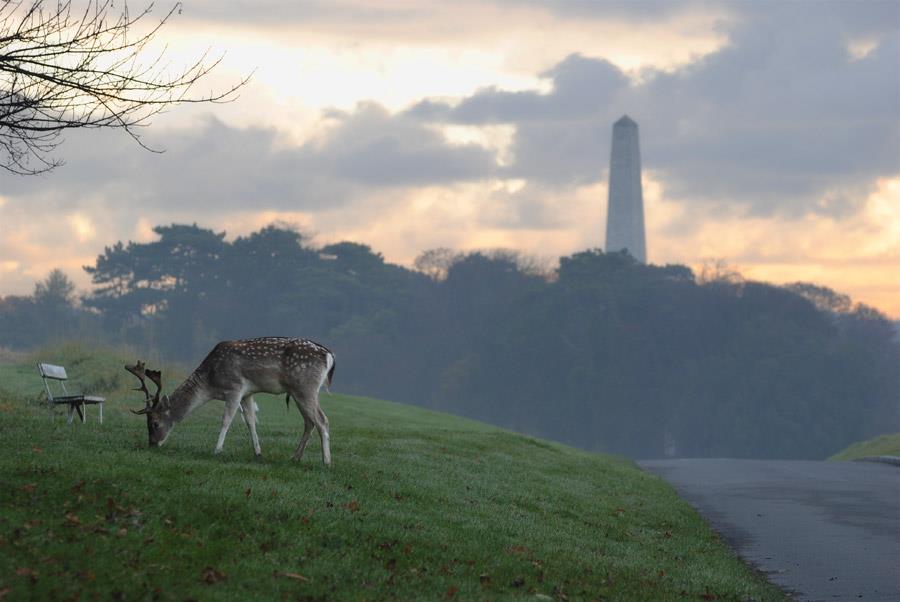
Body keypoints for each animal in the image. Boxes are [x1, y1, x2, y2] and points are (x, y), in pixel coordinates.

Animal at [125, 338, 334, 464]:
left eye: (155, 423)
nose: (152, 444)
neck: (210, 384)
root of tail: (330, 356)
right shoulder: (248, 393)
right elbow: (251, 422)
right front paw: (258, 452)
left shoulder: (235, 387)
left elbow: (226, 419)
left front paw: (217, 450)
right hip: (299, 392)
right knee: (309, 422)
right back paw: (295, 457)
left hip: (305, 388)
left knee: (322, 420)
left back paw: (326, 462)